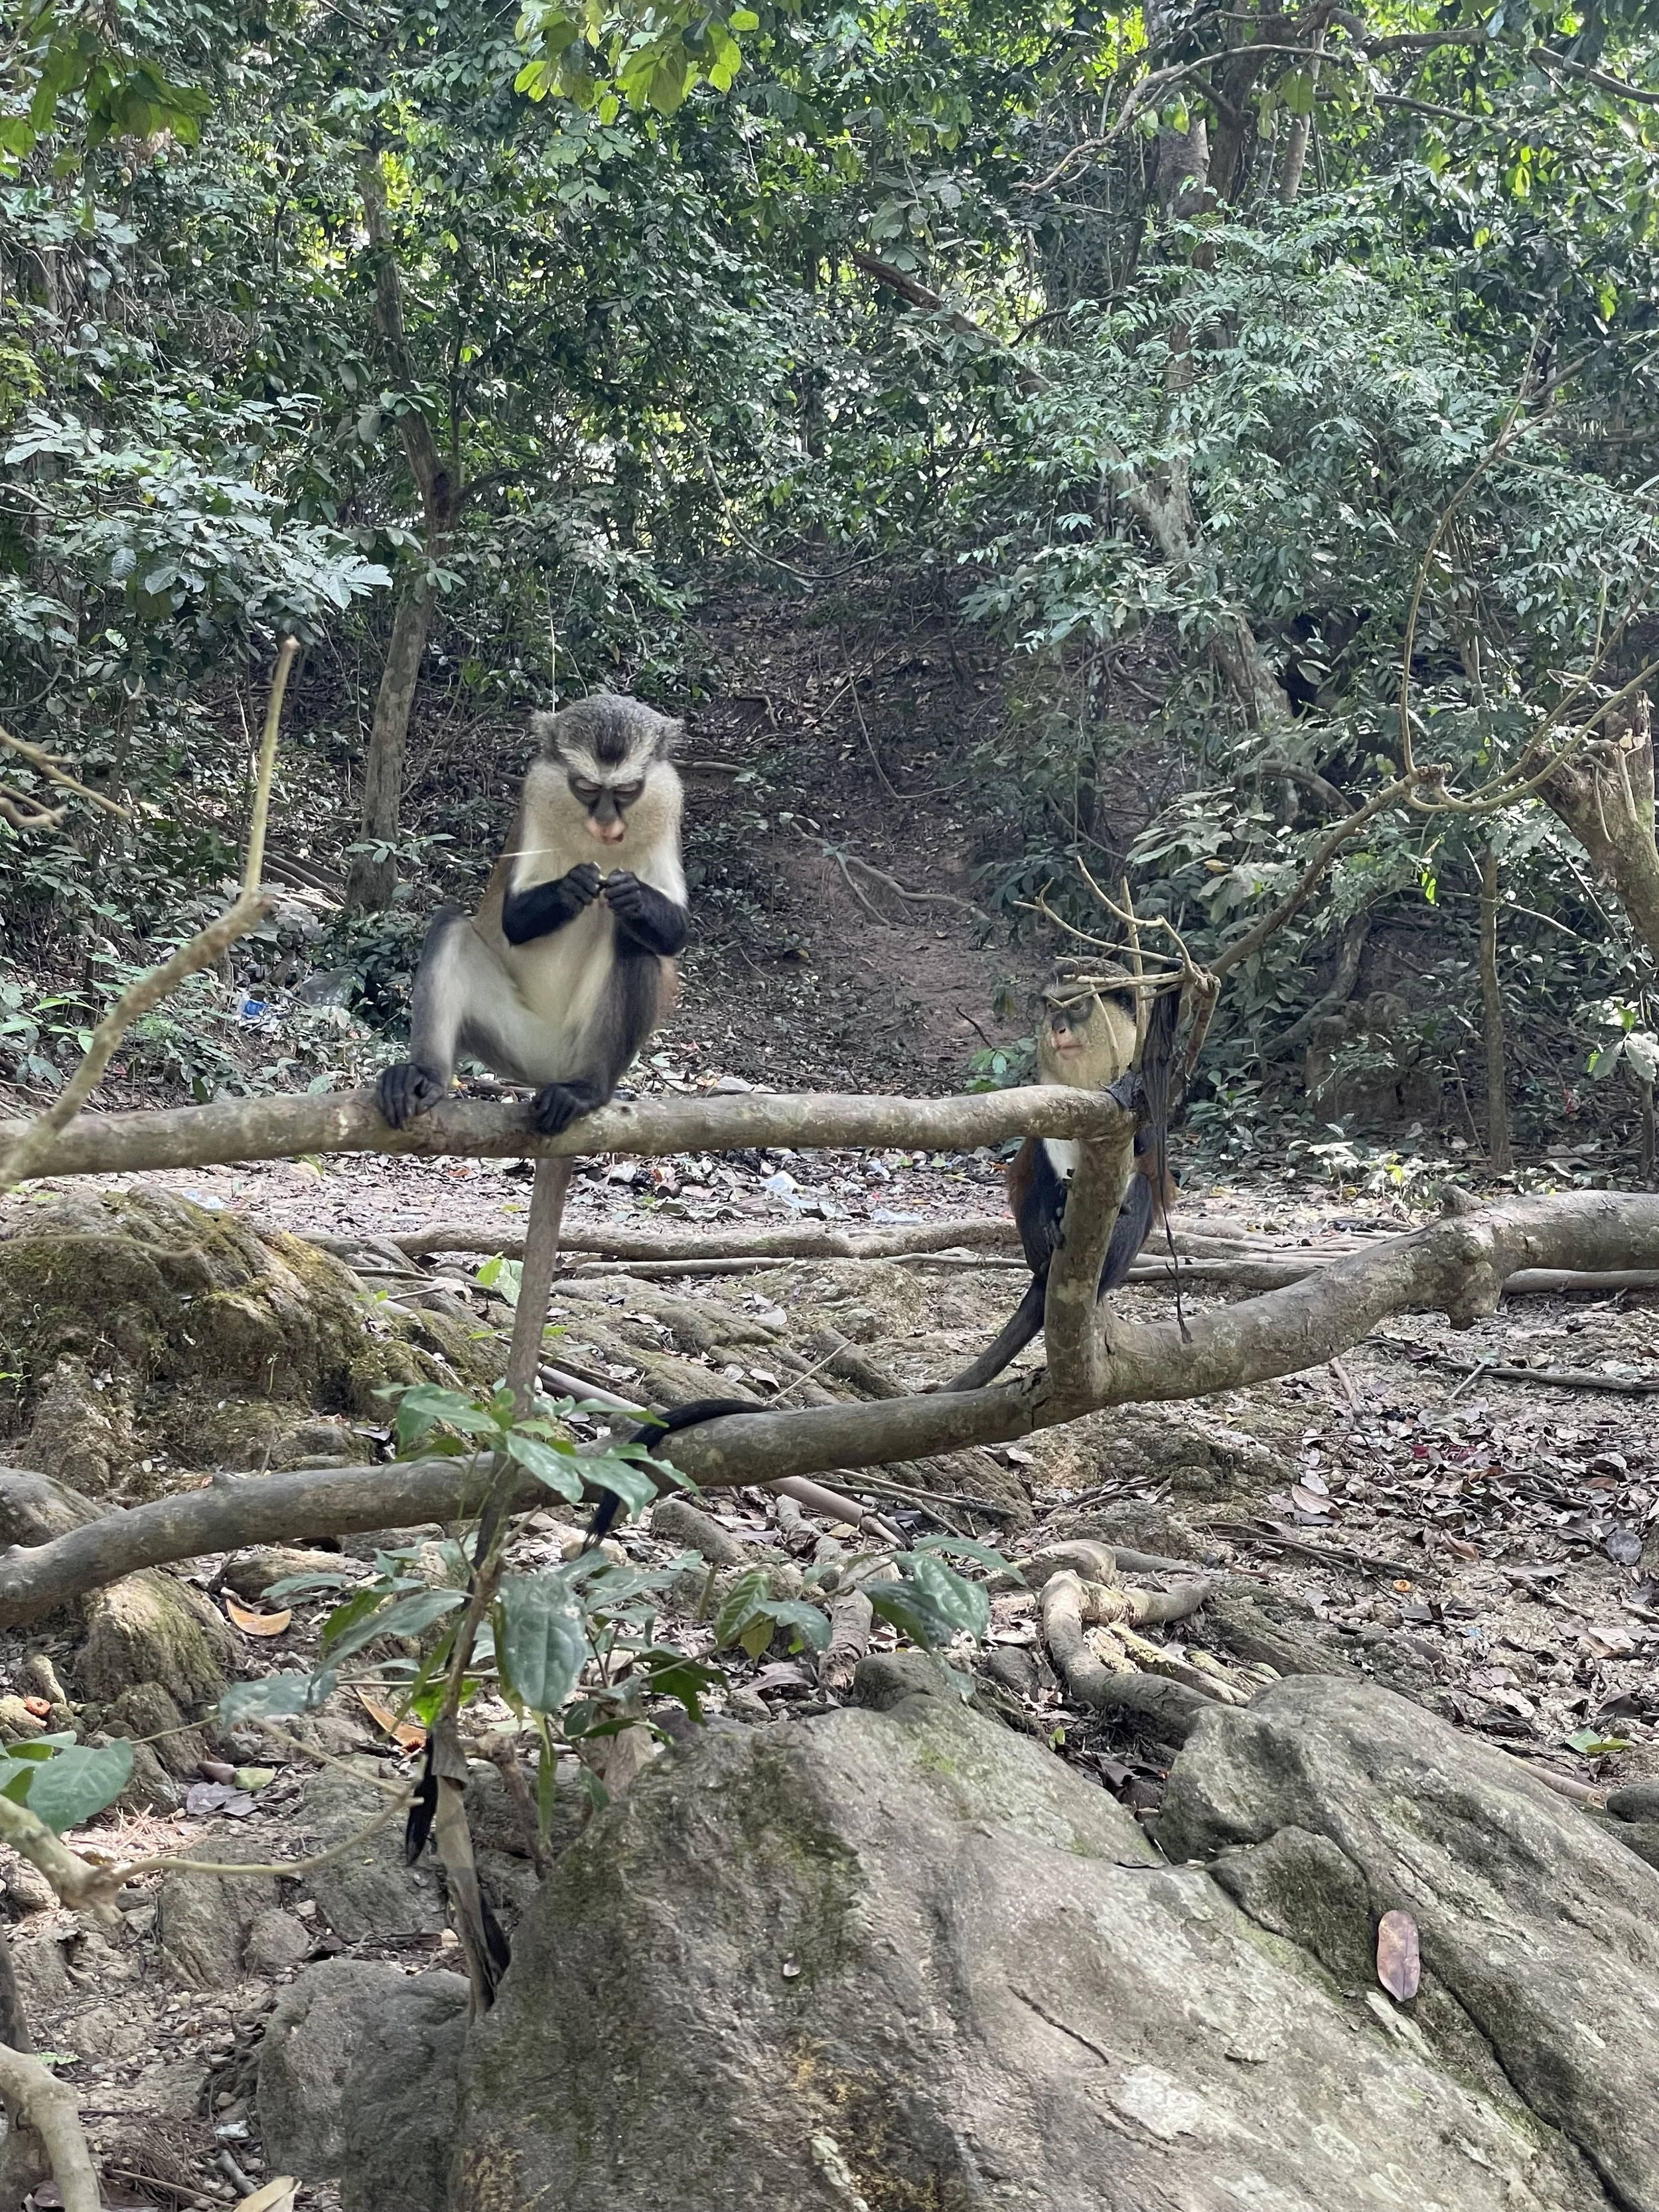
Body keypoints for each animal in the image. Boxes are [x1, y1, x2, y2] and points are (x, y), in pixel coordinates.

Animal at [378, 693, 687, 1137]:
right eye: (586, 788)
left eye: (627, 791)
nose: (606, 823)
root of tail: (546, 1071)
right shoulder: (538, 795)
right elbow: (514, 921)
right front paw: (573, 887)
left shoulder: (668, 807)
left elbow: (676, 933)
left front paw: (635, 898)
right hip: (515, 1040)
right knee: (450, 925)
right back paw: (423, 1078)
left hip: (575, 1045)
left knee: (634, 943)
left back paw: (584, 1091)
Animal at [938, 962, 1179, 1394]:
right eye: (1053, 1007)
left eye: (1077, 1005)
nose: (1057, 1029)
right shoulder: (1053, 1097)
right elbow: (1048, 1141)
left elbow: (1147, 1147)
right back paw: (1053, 1234)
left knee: (1139, 1187)